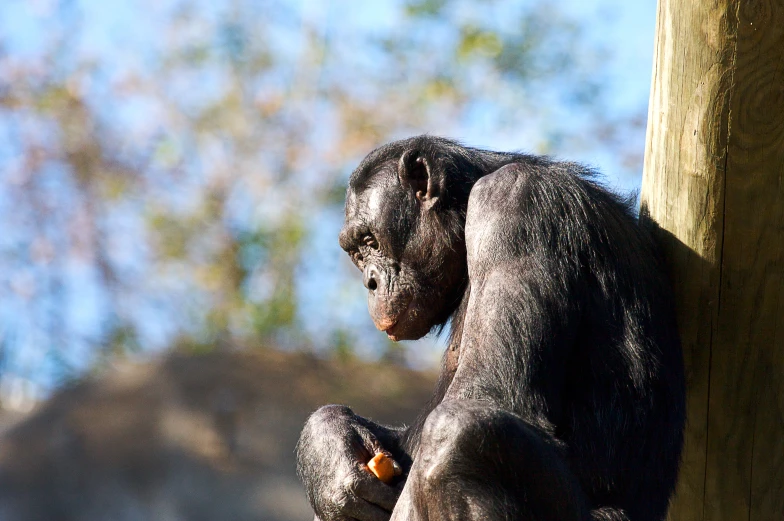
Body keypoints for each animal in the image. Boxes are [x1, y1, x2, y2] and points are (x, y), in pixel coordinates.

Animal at [298, 135, 684, 520]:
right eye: (357, 254)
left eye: (371, 241)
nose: (370, 281)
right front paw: (329, 450)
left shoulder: (512, 204)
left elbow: (488, 394)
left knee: (459, 436)